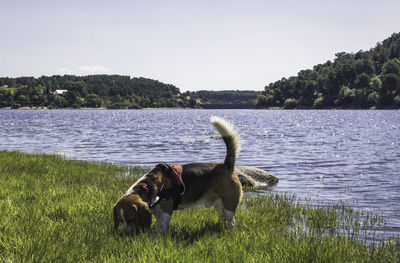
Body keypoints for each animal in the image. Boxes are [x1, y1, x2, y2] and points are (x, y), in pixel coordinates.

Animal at [114, 117, 242, 235]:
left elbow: (162, 229)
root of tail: (226, 165)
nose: (126, 234)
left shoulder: (165, 213)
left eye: (131, 219)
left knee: (232, 221)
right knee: (225, 218)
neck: (146, 186)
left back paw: (229, 232)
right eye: (121, 221)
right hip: (219, 204)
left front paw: (157, 238)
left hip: (229, 203)